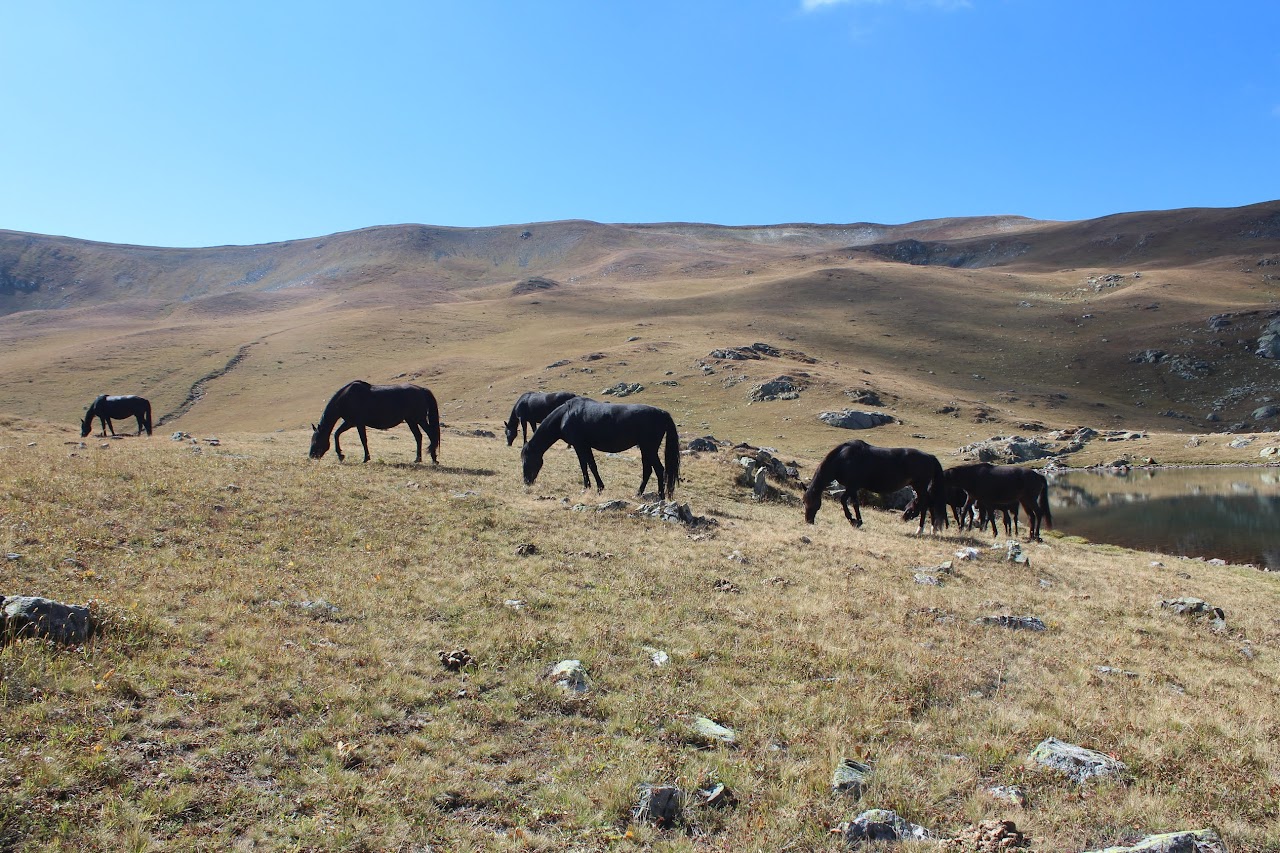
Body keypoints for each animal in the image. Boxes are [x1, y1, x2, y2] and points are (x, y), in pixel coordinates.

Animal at [308, 379, 440, 461]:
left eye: (316, 440)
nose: (311, 456)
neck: (346, 398)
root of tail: (422, 390)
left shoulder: (357, 423)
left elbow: (363, 439)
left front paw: (365, 458)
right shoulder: (350, 423)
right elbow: (337, 433)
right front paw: (341, 455)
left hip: (419, 419)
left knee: (431, 435)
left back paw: (433, 458)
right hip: (411, 421)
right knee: (418, 437)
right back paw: (418, 459)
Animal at [519, 397, 680, 499]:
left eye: (527, 460)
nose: (526, 482)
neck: (565, 415)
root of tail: (663, 413)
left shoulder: (580, 445)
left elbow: (587, 465)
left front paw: (593, 488)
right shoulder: (584, 446)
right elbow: (588, 465)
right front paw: (592, 487)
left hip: (649, 448)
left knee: (658, 469)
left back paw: (660, 496)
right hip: (646, 449)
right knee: (648, 470)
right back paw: (639, 493)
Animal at [803, 438, 947, 532]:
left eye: (814, 503)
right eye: (804, 502)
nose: (808, 521)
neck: (843, 459)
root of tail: (929, 456)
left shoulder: (852, 486)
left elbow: (844, 500)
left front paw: (853, 520)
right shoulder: (853, 488)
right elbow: (855, 503)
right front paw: (857, 521)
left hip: (920, 486)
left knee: (925, 503)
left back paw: (920, 530)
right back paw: (931, 530)